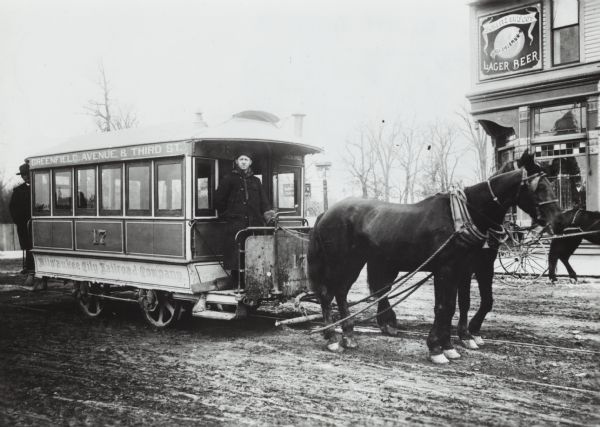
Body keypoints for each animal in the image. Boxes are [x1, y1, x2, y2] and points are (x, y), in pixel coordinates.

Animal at [310, 150, 564, 364]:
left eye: (552, 184)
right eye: (539, 187)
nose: (559, 221)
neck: (461, 217)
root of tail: (326, 212)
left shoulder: (462, 269)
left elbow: (453, 306)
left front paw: (449, 345)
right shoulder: (447, 269)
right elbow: (445, 307)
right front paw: (436, 348)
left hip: (358, 262)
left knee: (342, 293)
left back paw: (349, 335)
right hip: (342, 262)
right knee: (328, 294)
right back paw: (332, 338)